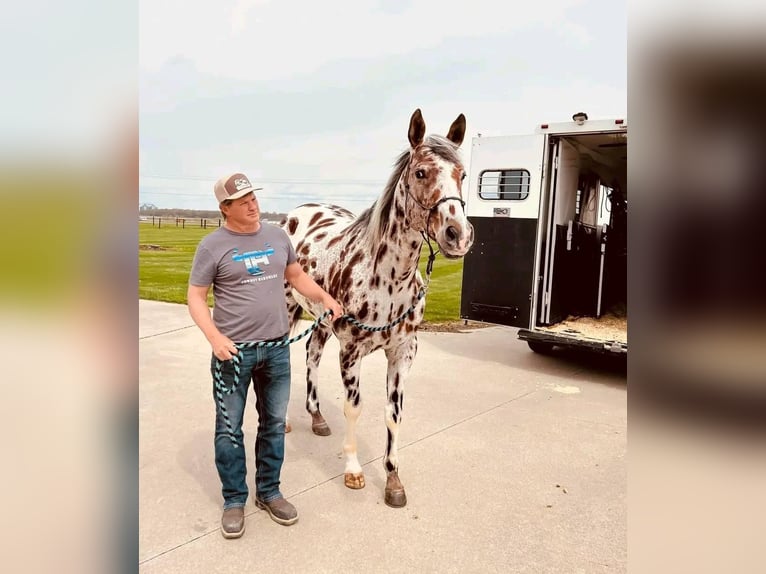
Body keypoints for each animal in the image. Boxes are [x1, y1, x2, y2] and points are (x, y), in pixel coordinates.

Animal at [280, 109, 474, 507]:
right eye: (421, 172)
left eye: (462, 175)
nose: (458, 235)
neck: (387, 278)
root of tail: (295, 213)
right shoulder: (352, 350)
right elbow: (354, 407)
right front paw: (354, 471)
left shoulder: (403, 351)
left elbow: (393, 414)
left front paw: (393, 479)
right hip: (290, 308)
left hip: (321, 322)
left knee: (312, 354)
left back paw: (317, 417)